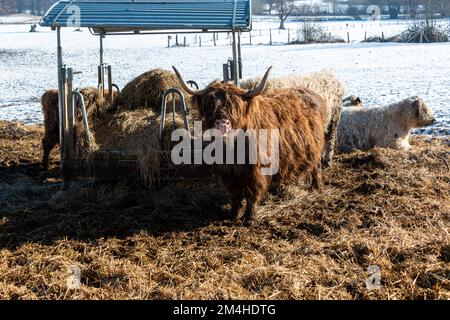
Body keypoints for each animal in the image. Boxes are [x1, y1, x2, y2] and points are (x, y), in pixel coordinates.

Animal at [173, 65, 326, 225]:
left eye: (235, 105)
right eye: (210, 104)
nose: (222, 123)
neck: (233, 148)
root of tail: (311, 92)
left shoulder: (255, 170)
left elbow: (252, 193)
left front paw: (250, 218)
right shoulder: (229, 172)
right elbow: (235, 194)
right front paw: (233, 214)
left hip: (317, 148)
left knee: (316, 167)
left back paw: (317, 188)